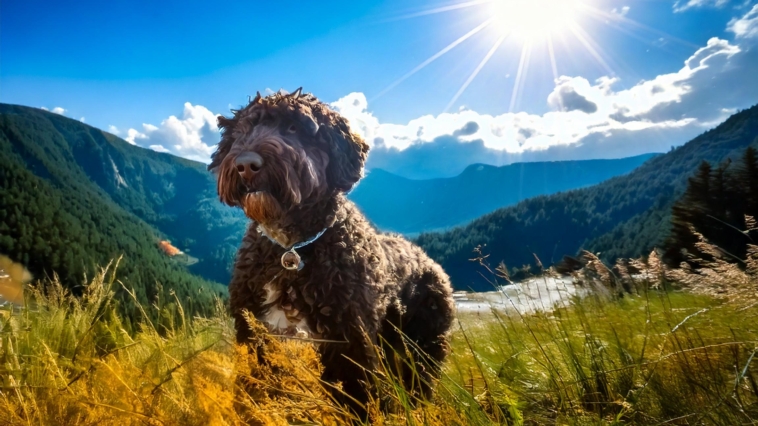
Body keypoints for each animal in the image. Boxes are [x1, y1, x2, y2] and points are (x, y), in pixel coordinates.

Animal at [209, 89, 458, 412]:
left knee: (418, 385)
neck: (291, 249)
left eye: (294, 128)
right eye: (242, 131)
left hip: (421, 348)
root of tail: (429, 259)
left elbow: (355, 401)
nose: (246, 163)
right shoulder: (254, 335)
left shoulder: (349, 345)